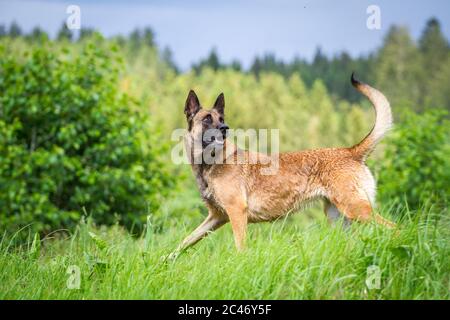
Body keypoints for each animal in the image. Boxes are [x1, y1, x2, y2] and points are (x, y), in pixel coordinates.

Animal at [168, 74, 394, 258]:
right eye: (207, 119)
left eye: (221, 119)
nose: (225, 128)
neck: (211, 162)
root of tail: (350, 151)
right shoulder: (216, 217)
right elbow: (184, 243)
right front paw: (164, 263)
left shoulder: (236, 213)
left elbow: (240, 247)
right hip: (339, 218)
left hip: (358, 210)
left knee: (394, 228)